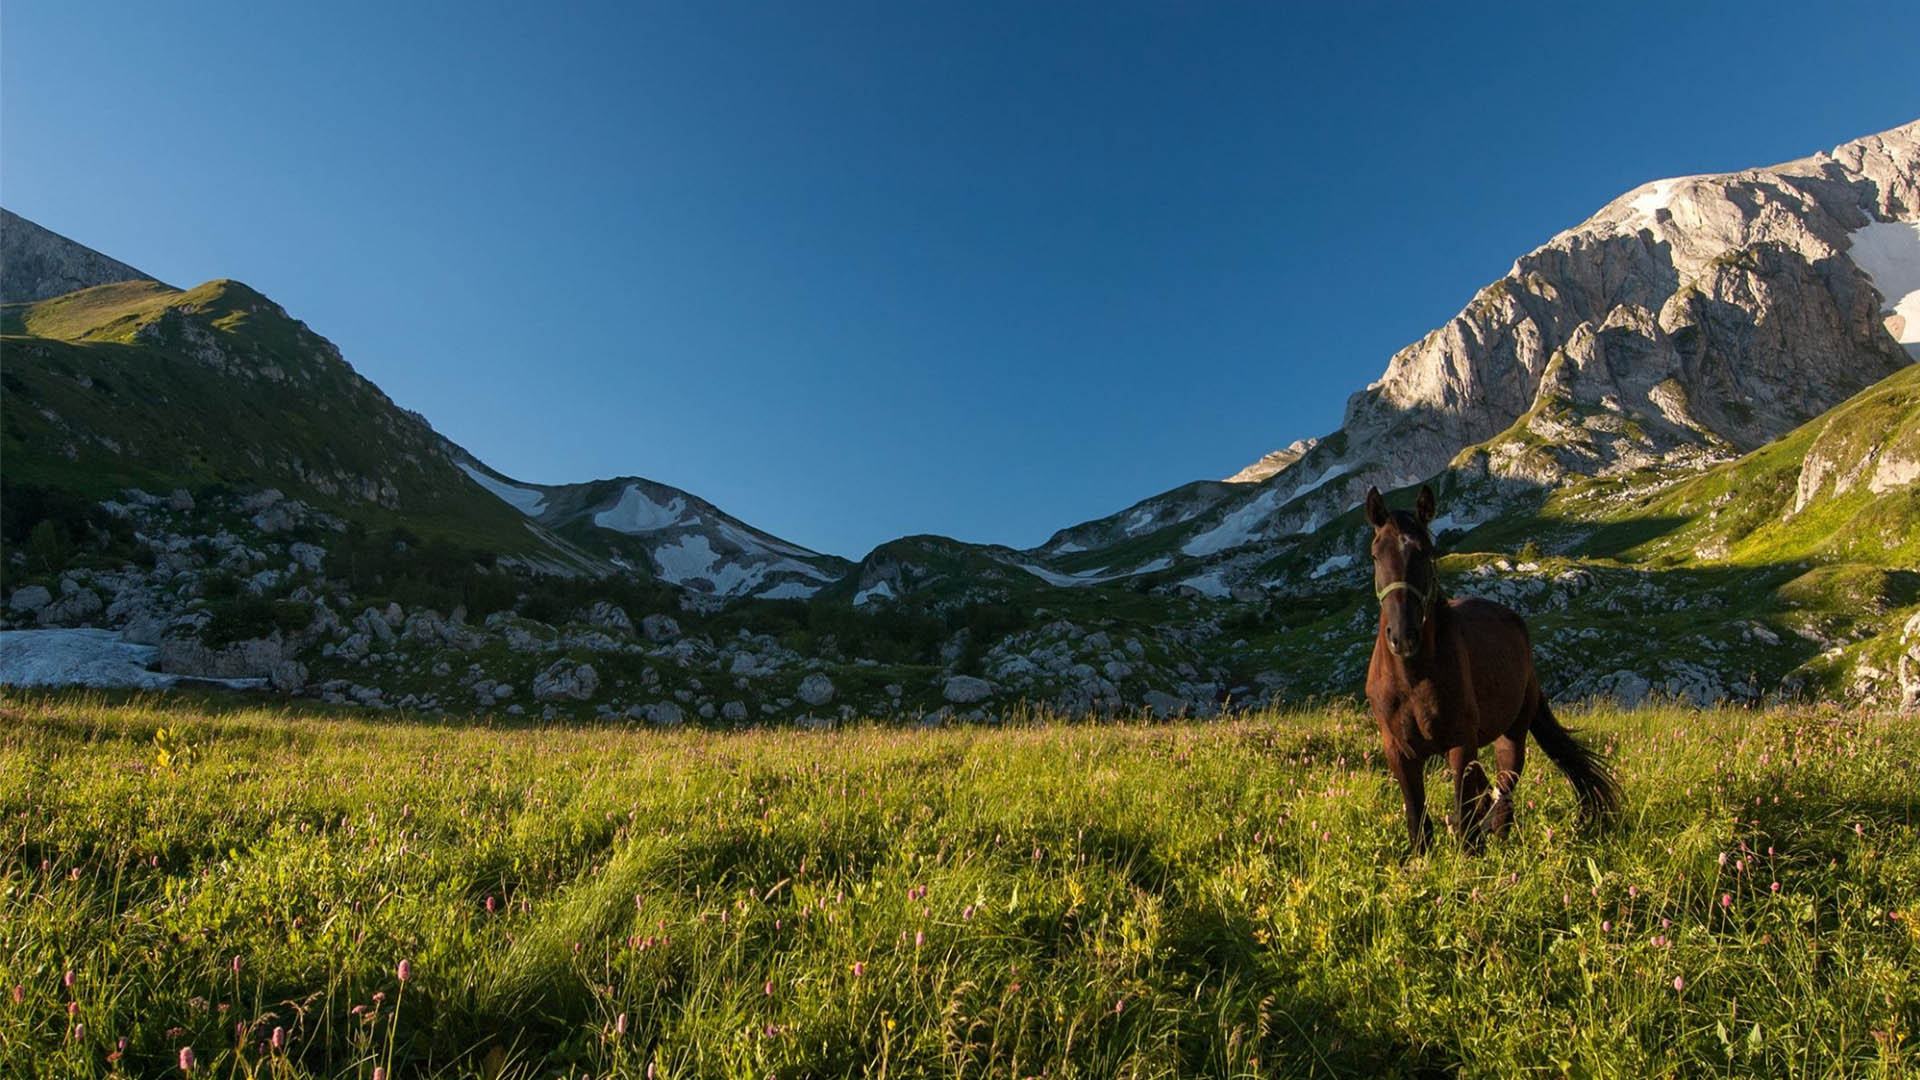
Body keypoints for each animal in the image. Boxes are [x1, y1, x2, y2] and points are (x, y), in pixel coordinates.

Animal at [1367, 480, 1620, 849]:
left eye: (1427, 552)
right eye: (1376, 555)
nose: (1403, 636)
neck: (1412, 677)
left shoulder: (1461, 745)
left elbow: (1463, 817)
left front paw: (1469, 855)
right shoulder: (1398, 751)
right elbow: (1418, 823)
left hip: (1510, 735)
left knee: (1504, 790)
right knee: (1489, 793)